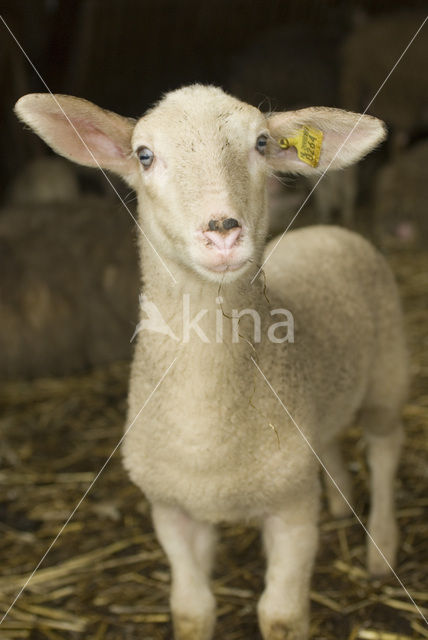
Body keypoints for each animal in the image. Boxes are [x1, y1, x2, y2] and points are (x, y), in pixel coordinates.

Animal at [14, 86, 408, 640]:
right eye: (144, 155)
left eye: (262, 143)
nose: (222, 230)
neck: (208, 432)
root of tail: (329, 229)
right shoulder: (172, 510)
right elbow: (191, 610)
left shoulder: (291, 512)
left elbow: (280, 615)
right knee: (330, 440)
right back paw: (340, 501)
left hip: (388, 375)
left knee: (384, 449)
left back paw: (381, 547)